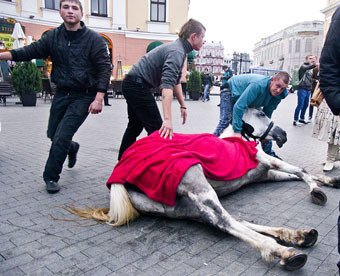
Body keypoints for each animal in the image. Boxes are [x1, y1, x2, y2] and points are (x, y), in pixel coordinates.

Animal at [67, 108, 338, 272]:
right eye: (261, 112)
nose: (282, 134)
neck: (239, 139)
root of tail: (119, 175)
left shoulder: (266, 174)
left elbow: (297, 173)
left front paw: (330, 181)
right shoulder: (270, 163)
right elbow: (301, 170)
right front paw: (316, 191)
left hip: (182, 207)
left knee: (226, 220)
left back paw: (297, 235)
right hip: (200, 187)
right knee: (222, 220)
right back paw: (283, 251)